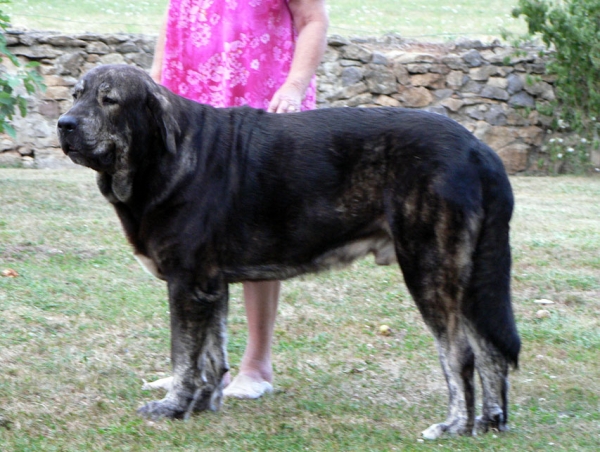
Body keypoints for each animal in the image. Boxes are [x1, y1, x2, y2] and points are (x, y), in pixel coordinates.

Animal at [58, 63, 524, 438]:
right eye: (76, 94)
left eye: (110, 100)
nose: (64, 123)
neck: (161, 157)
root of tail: (480, 149)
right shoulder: (210, 286)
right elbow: (211, 354)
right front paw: (204, 405)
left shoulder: (186, 284)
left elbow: (184, 357)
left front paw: (173, 406)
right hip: (467, 276)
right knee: (490, 350)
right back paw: (490, 422)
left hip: (429, 268)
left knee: (460, 355)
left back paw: (455, 426)